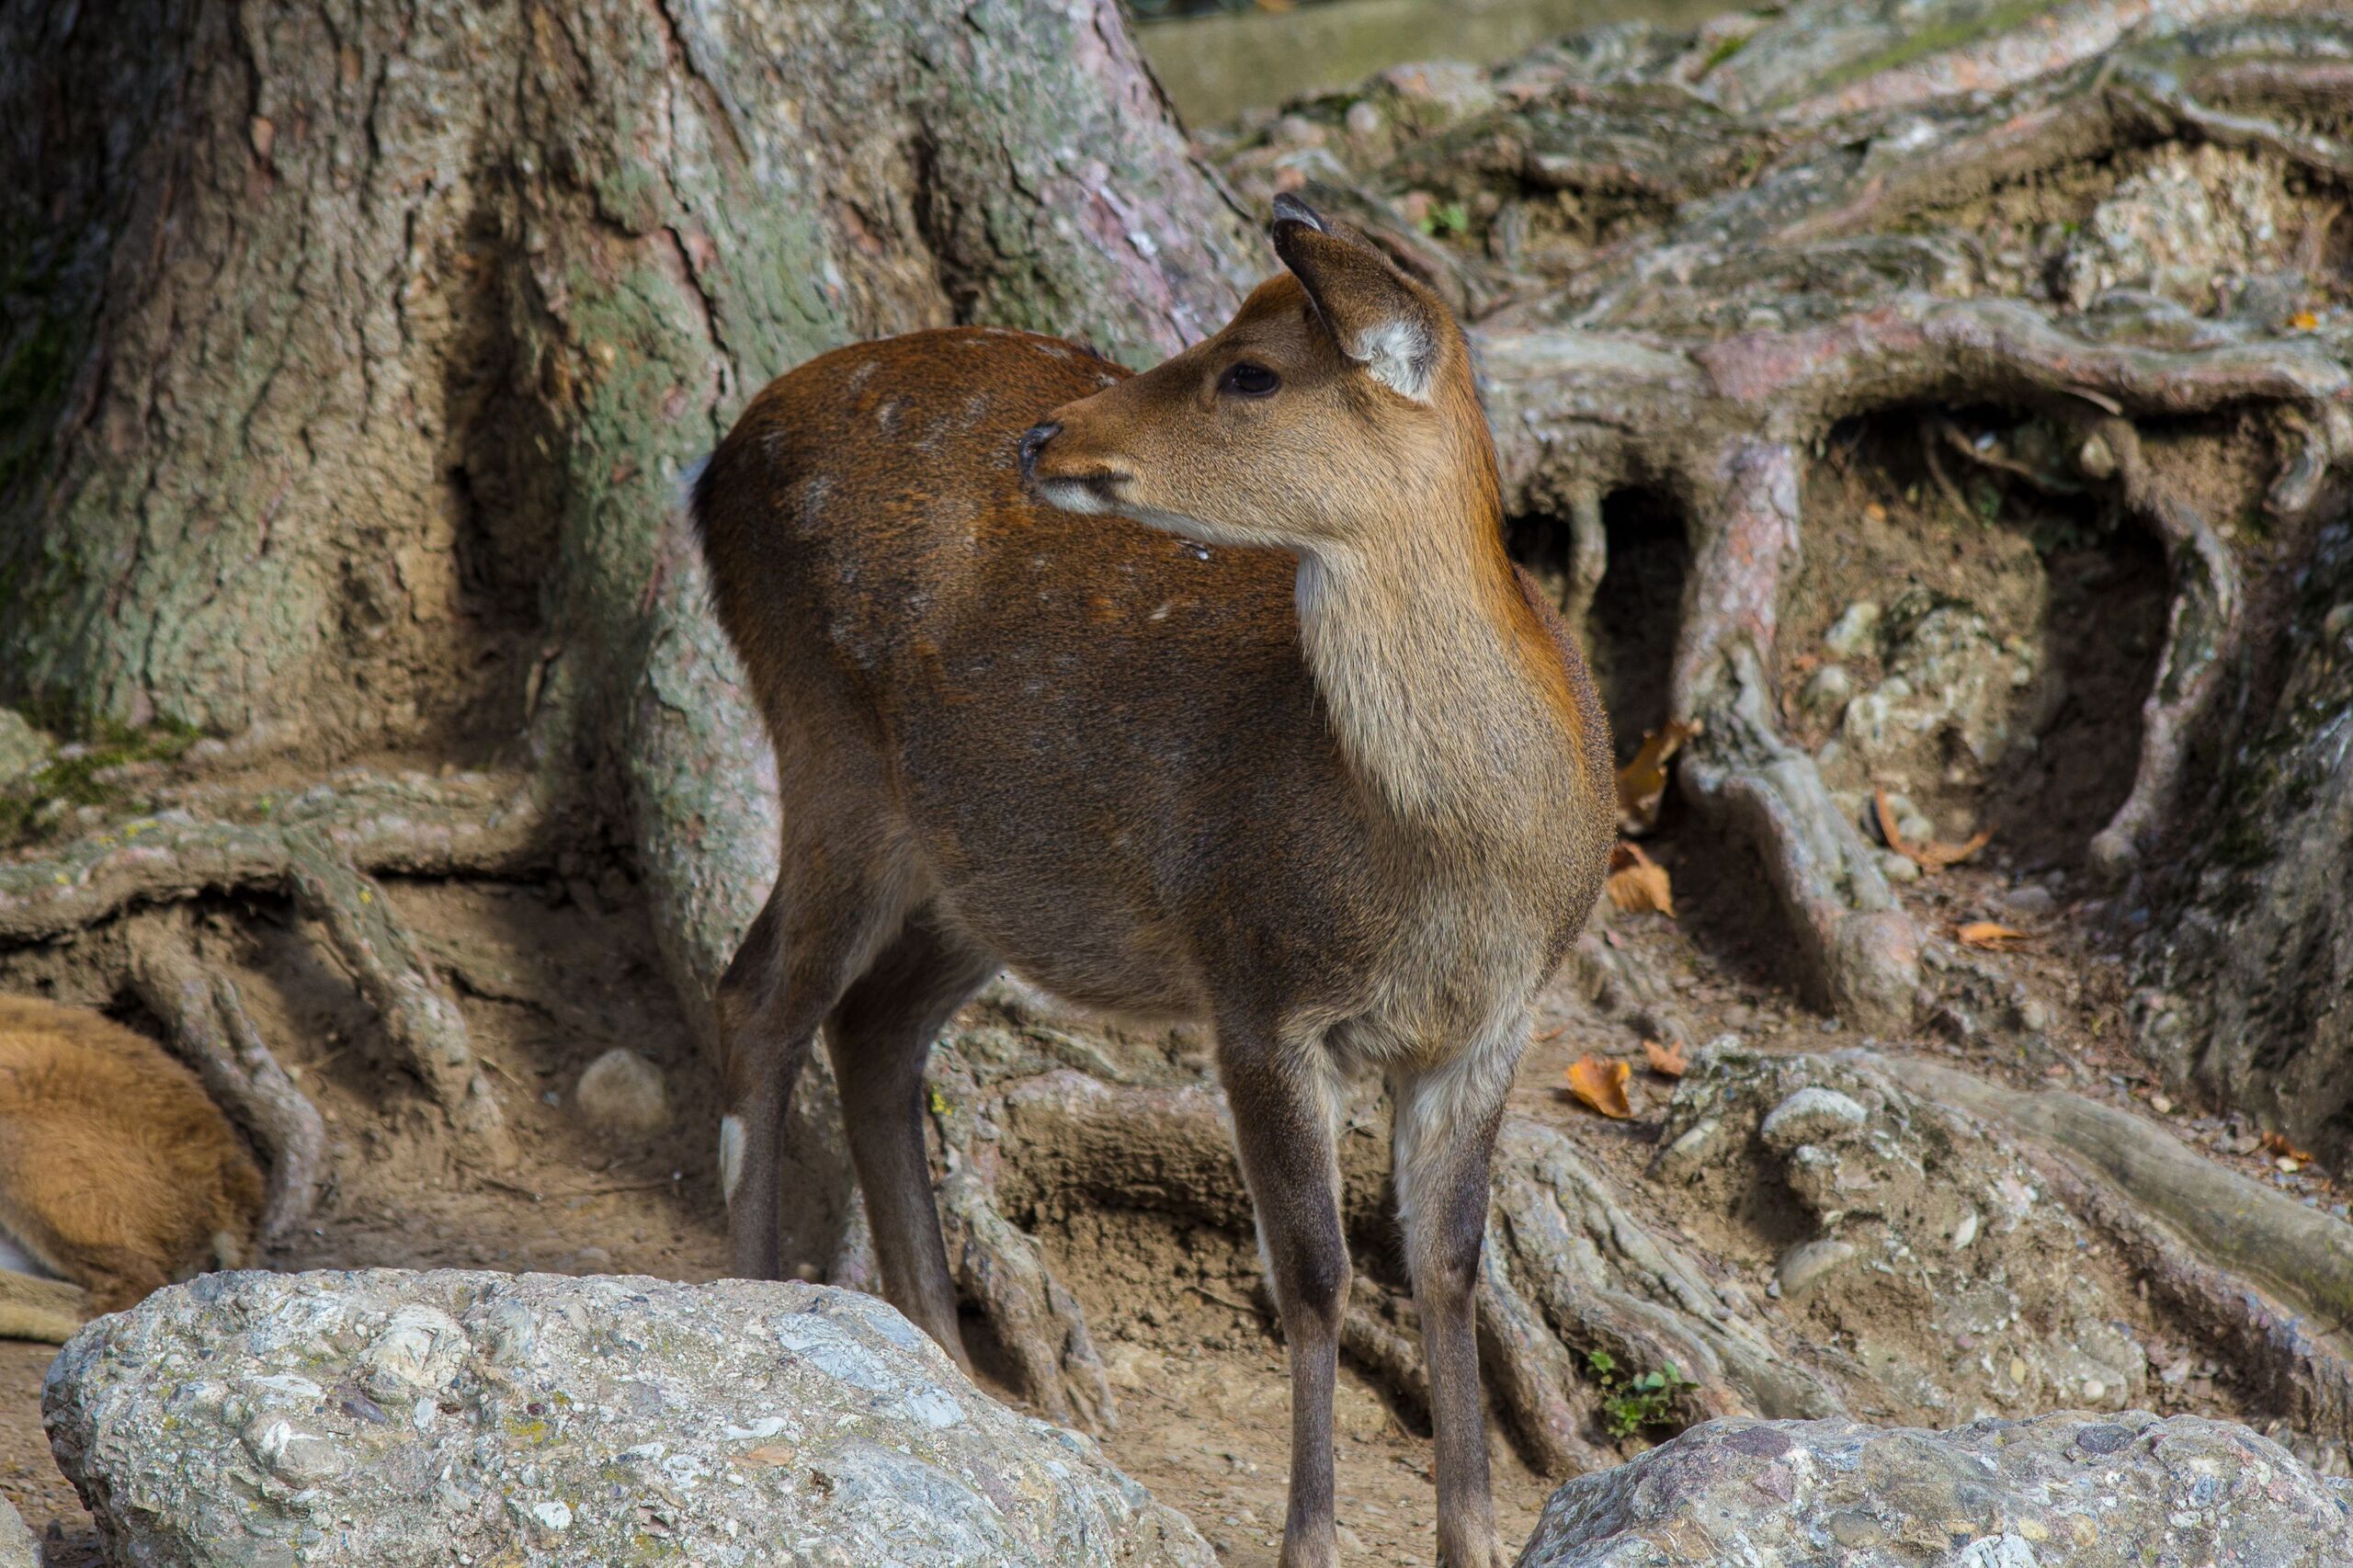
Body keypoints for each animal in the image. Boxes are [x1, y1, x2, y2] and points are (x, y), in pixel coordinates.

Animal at [692, 194, 1613, 1568]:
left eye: (1251, 370)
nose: (1047, 436)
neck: (1454, 872)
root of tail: (714, 465)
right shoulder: (1257, 986)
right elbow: (1314, 1273)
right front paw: (1308, 1540)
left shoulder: (1493, 1027)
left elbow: (1450, 1265)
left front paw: (1473, 1541)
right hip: (829, 747)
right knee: (761, 998)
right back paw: (755, 1302)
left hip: (992, 865)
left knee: (873, 1025)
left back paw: (948, 1368)